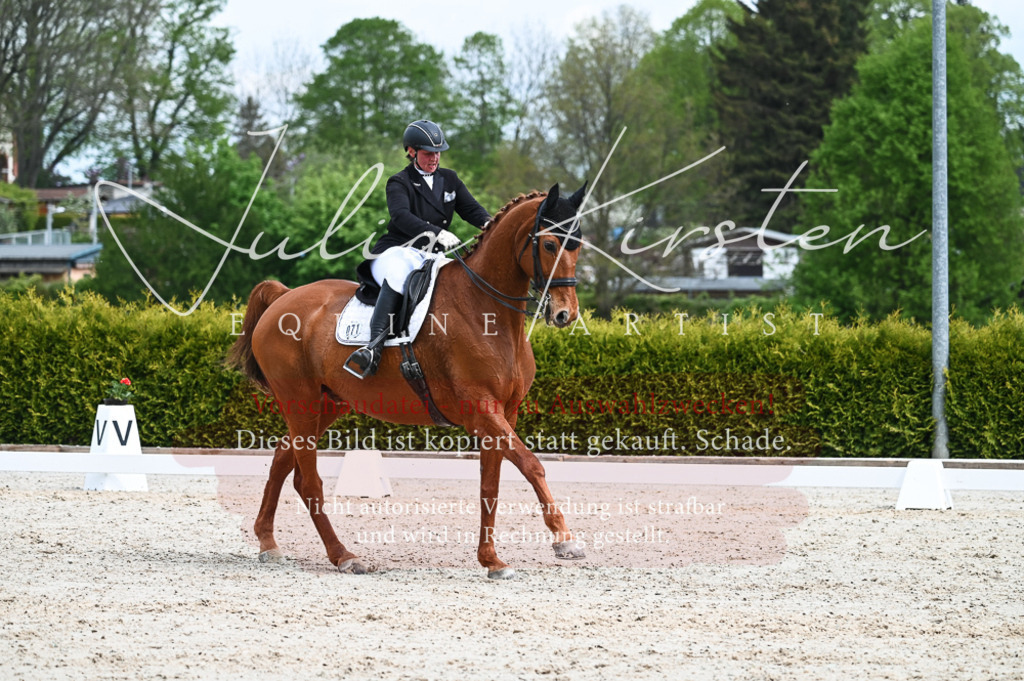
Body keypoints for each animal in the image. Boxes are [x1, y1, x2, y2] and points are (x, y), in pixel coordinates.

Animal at [228, 183, 589, 579]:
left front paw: (492, 560)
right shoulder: (481, 410)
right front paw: (565, 540)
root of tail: (284, 297)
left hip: (326, 403)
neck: (486, 310)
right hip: (300, 401)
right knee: (308, 481)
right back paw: (344, 555)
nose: (565, 314)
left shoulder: (504, 413)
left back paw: (268, 543)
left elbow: (490, 486)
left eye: (578, 244)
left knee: (282, 459)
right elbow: (531, 465)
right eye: (550, 244)